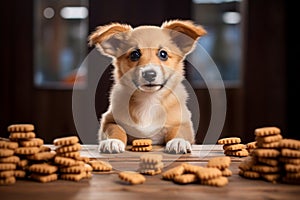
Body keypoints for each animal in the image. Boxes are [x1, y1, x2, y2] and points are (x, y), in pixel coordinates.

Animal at [89, 19, 206, 153]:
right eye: (134, 54)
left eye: (163, 54)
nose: (149, 74)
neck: (148, 100)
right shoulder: (108, 120)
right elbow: (117, 129)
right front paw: (113, 141)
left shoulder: (184, 122)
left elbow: (178, 131)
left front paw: (178, 141)